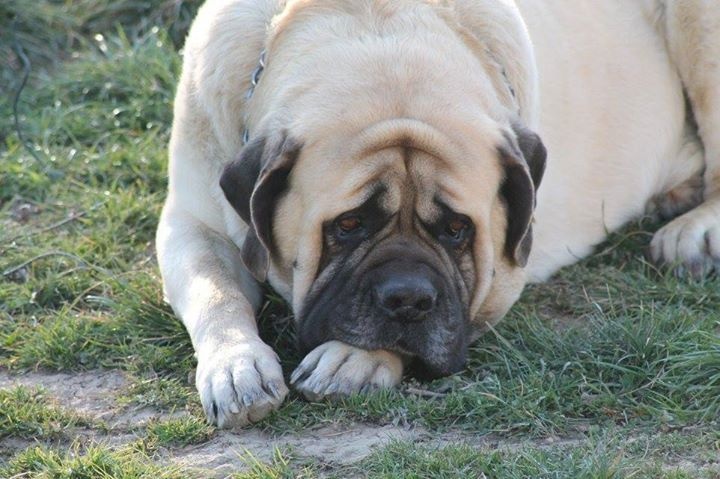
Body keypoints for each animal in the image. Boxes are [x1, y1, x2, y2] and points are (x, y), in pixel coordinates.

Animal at [158, 0, 720, 428]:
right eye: (348, 225)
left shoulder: (500, 275)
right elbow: (216, 292)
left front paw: (354, 359)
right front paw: (237, 367)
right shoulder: (192, 225)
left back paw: (691, 231)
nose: (408, 298)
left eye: (457, 230)